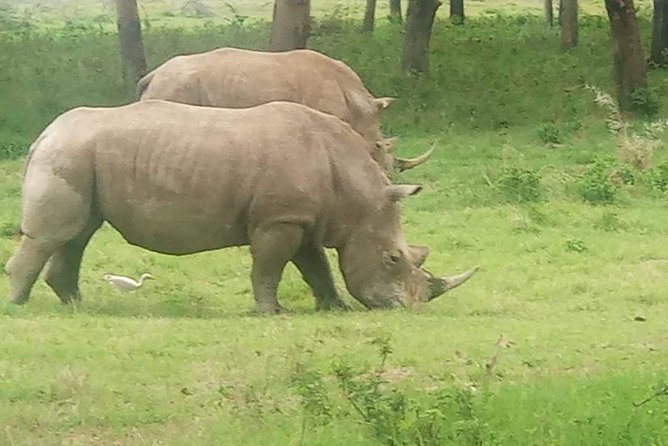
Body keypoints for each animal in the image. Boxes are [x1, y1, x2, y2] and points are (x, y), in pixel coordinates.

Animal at [5, 100, 477, 313]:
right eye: (394, 258)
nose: (412, 308)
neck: (357, 197)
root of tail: (43, 135)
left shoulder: (302, 218)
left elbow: (316, 266)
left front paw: (334, 308)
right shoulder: (278, 218)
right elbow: (269, 267)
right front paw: (272, 313)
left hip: (79, 156)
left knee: (78, 234)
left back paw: (75, 305)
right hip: (68, 153)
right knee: (57, 234)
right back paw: (18, 306)